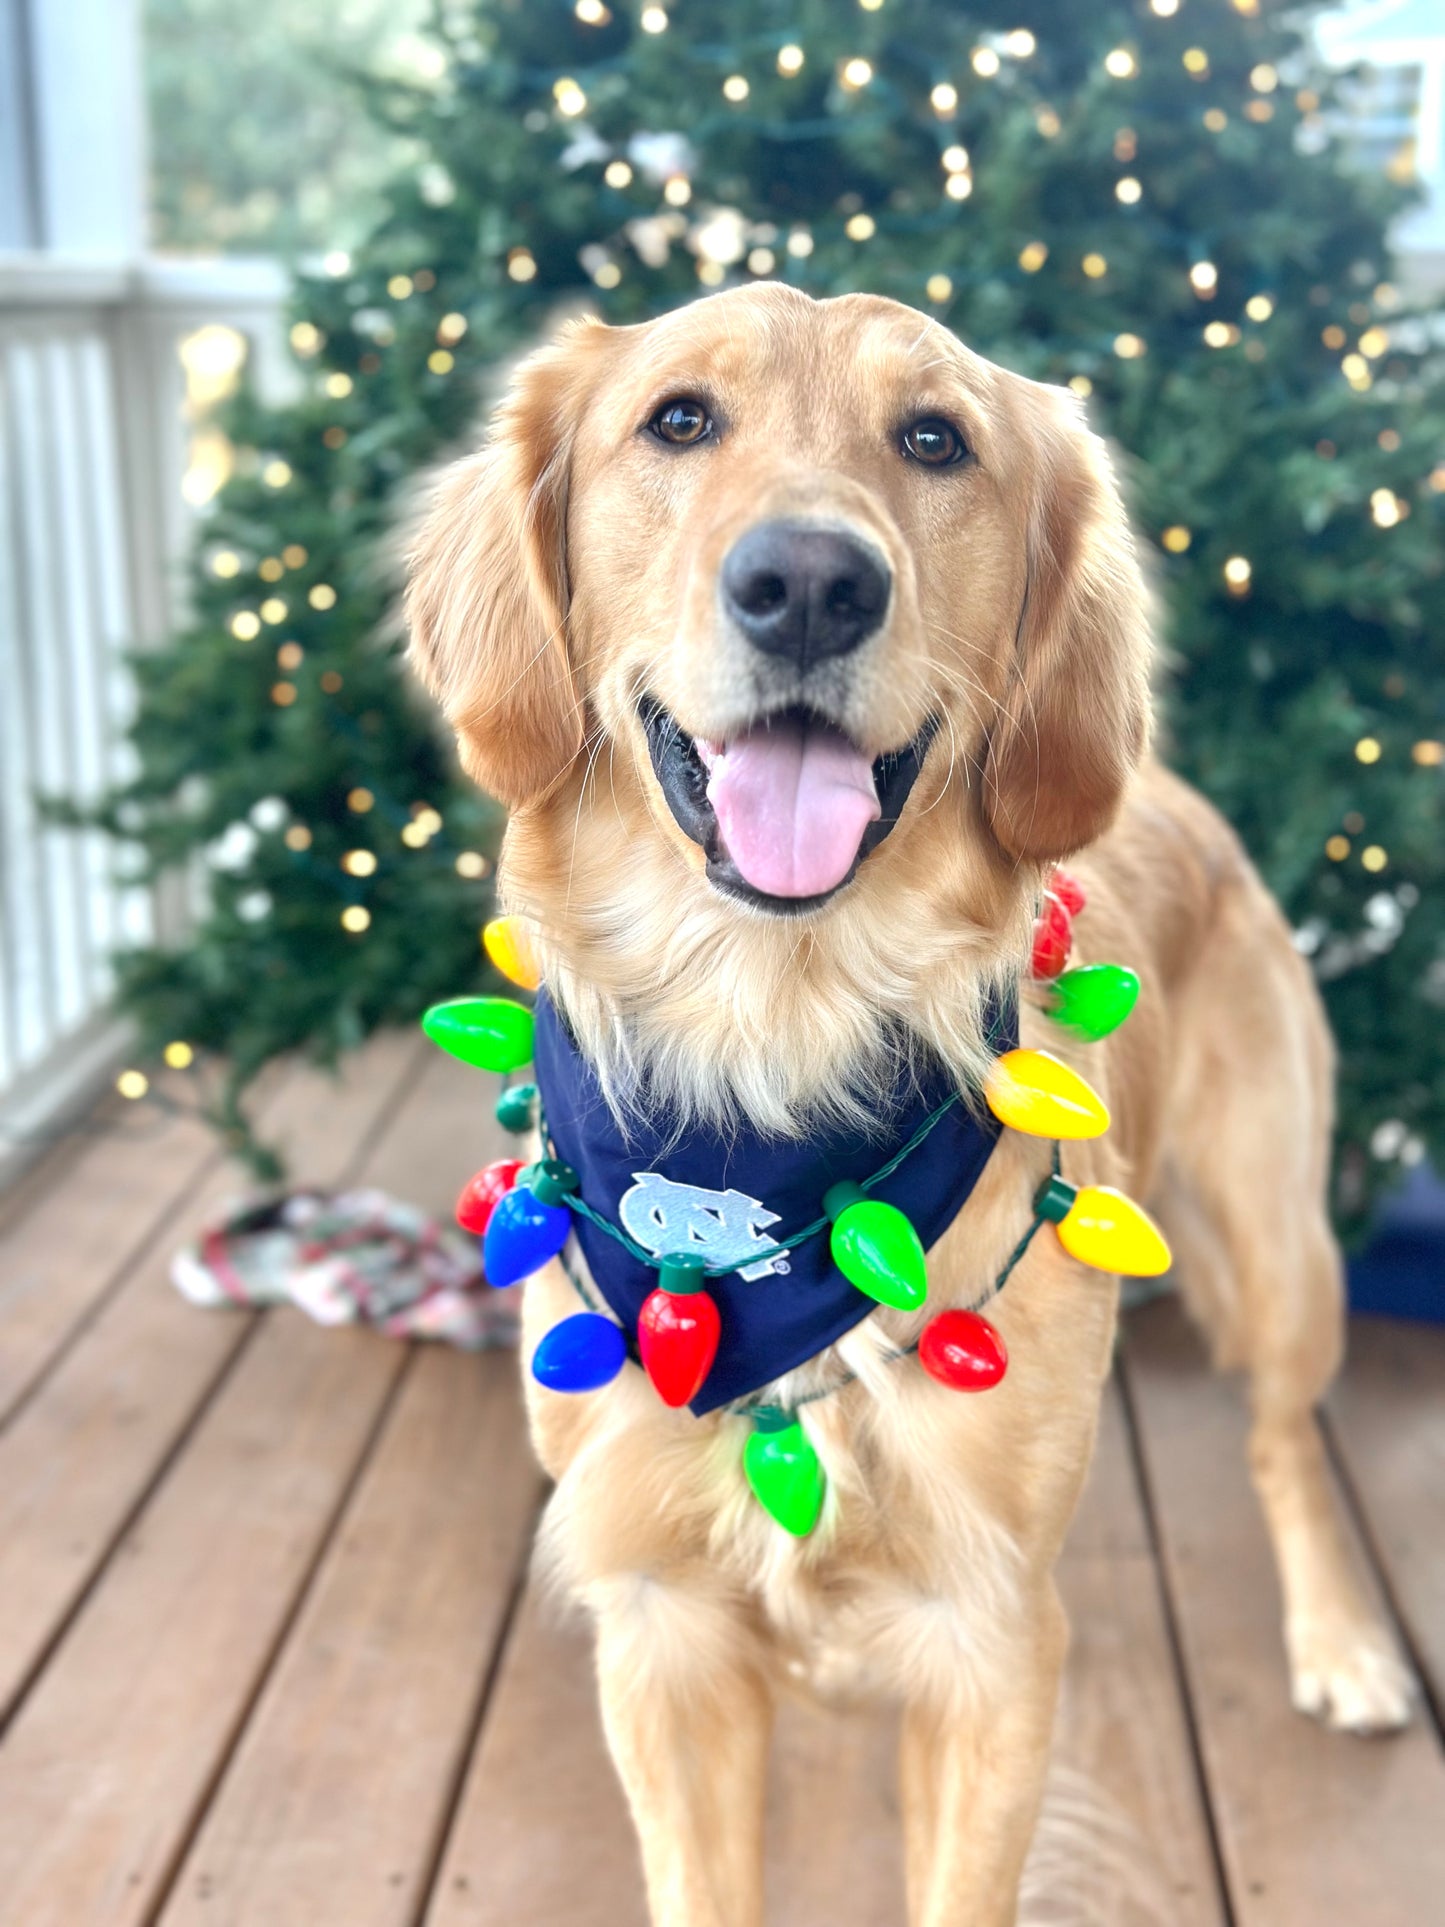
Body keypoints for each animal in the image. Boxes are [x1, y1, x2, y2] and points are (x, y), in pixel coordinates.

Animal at [408, 279, 1418, 1919]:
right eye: (677, 419)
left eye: (934, 439)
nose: (811, 584)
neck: (772, 1067)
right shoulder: (661, 1636)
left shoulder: (992, 1641)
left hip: (1281, 1246)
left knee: (1284, 1437)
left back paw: (1339, 1638)